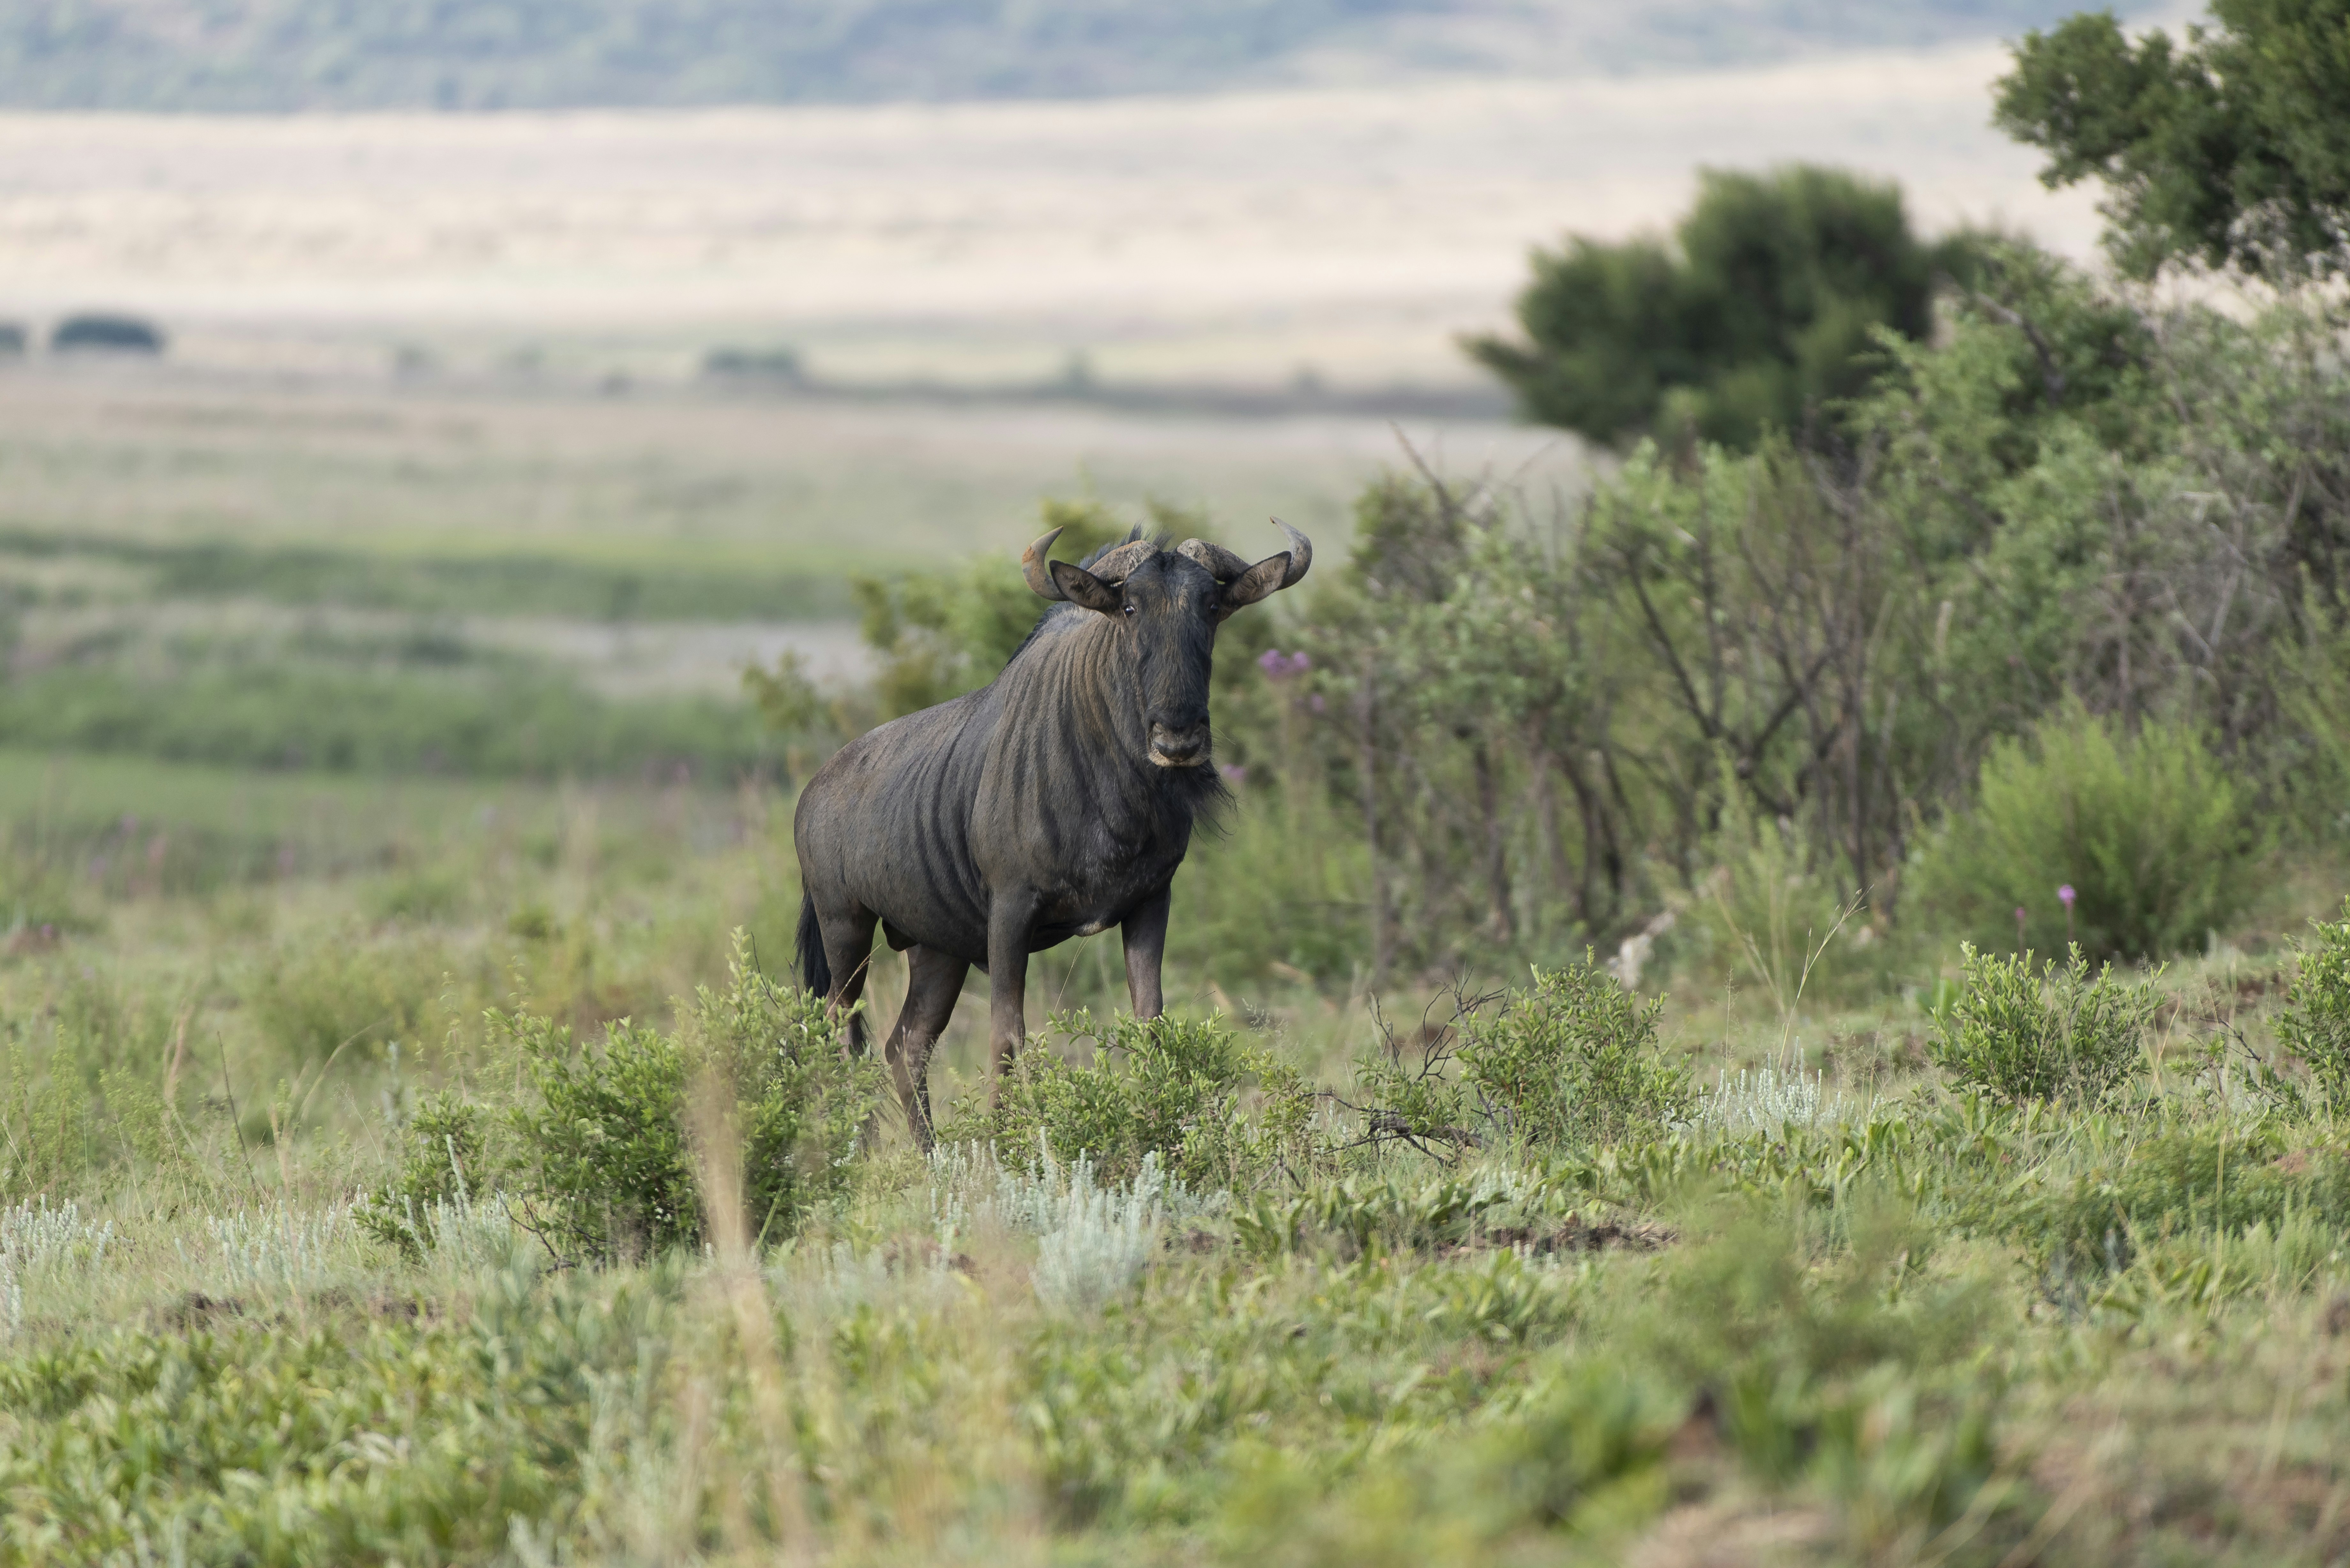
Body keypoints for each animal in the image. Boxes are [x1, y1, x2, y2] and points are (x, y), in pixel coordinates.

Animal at [792, 521, 1311, 1143]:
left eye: (1211, 606)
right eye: (1130, 607)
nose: (1179, 739)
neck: (1112, 785)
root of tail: (812, 794)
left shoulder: (1150, 903)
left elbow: (1151, 1023)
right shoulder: (1011, 913)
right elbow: (1007, 1036)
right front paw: (1003, 1146)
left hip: (936, 950)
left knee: (905, 1046)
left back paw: (930, 1155)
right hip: (845, 930)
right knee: (841, 1036)